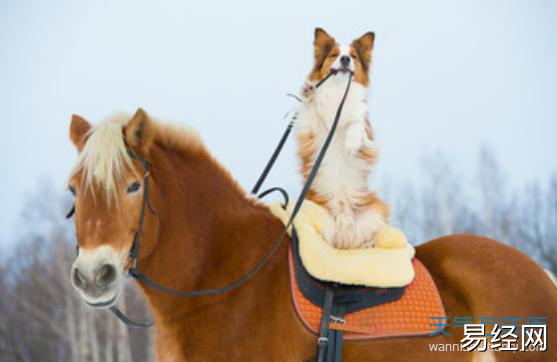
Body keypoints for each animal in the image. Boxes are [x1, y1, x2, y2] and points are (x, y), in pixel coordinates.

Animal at [294, 27, 388, 249]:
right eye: (334, 54)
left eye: (353, 56)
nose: (345, 59)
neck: (338, 93)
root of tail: (343, 224)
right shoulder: (312, 129)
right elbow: (309, 109)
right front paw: (308, 91)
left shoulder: (366, 130)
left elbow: (356, 124)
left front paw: (351, 143)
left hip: (376, 210)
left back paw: (368, 245)